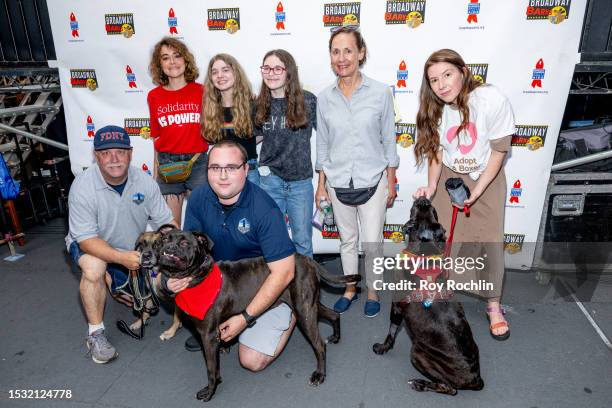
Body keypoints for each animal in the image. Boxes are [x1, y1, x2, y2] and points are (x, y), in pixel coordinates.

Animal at [152, 226, 358, 402]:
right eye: (164, 239)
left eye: (184, 243)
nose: (168, 248)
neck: (198, 277)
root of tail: (309, 260)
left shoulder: (208, 335)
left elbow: (210, 369)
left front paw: (210, 391)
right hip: (310, 305)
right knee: (334, 315)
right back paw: (336, 337)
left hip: (304, 310)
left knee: (319, 345)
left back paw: (319, 374)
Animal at [370, 198, 486, 396]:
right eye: (432, 209)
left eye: (414, 209)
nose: (423, 198)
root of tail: (475, 379)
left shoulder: (397, 306)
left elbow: (391, 331)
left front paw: (383, 348)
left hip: (417, 353)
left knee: (449, 388)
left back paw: (419, 383)